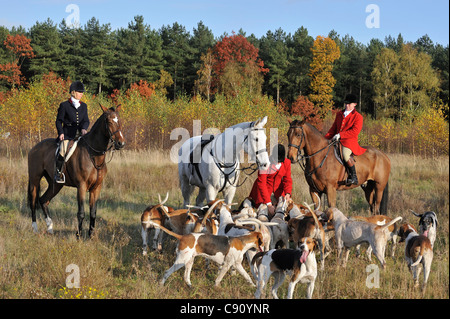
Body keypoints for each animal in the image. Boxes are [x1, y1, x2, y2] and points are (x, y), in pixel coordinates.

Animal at [27, 105, 125, 238]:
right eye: (109, 121)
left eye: (119, 121)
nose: (121, 143)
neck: (93, 155)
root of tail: (34, 148)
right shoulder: (81, 186)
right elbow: (81, 213)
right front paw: (78, 236)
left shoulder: (96, 188)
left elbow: (93, 212)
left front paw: (91, 236)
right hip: (35, 180)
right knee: (33, 202)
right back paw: (35, 228)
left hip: (56, 184)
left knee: (43, 200)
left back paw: (50, 228)